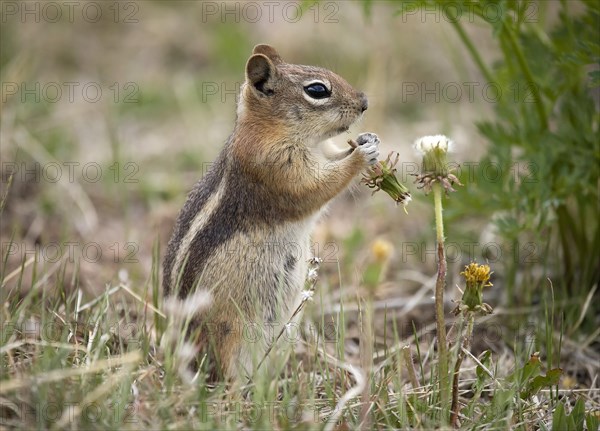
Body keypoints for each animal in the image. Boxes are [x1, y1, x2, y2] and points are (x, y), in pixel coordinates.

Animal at [164, 44, 380, 382]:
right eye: (317, 90)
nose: (365, 103)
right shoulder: (275, 167)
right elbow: (315, 188)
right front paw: (360, 156)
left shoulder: (322, 152)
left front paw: (367, 140)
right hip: (230, 334)